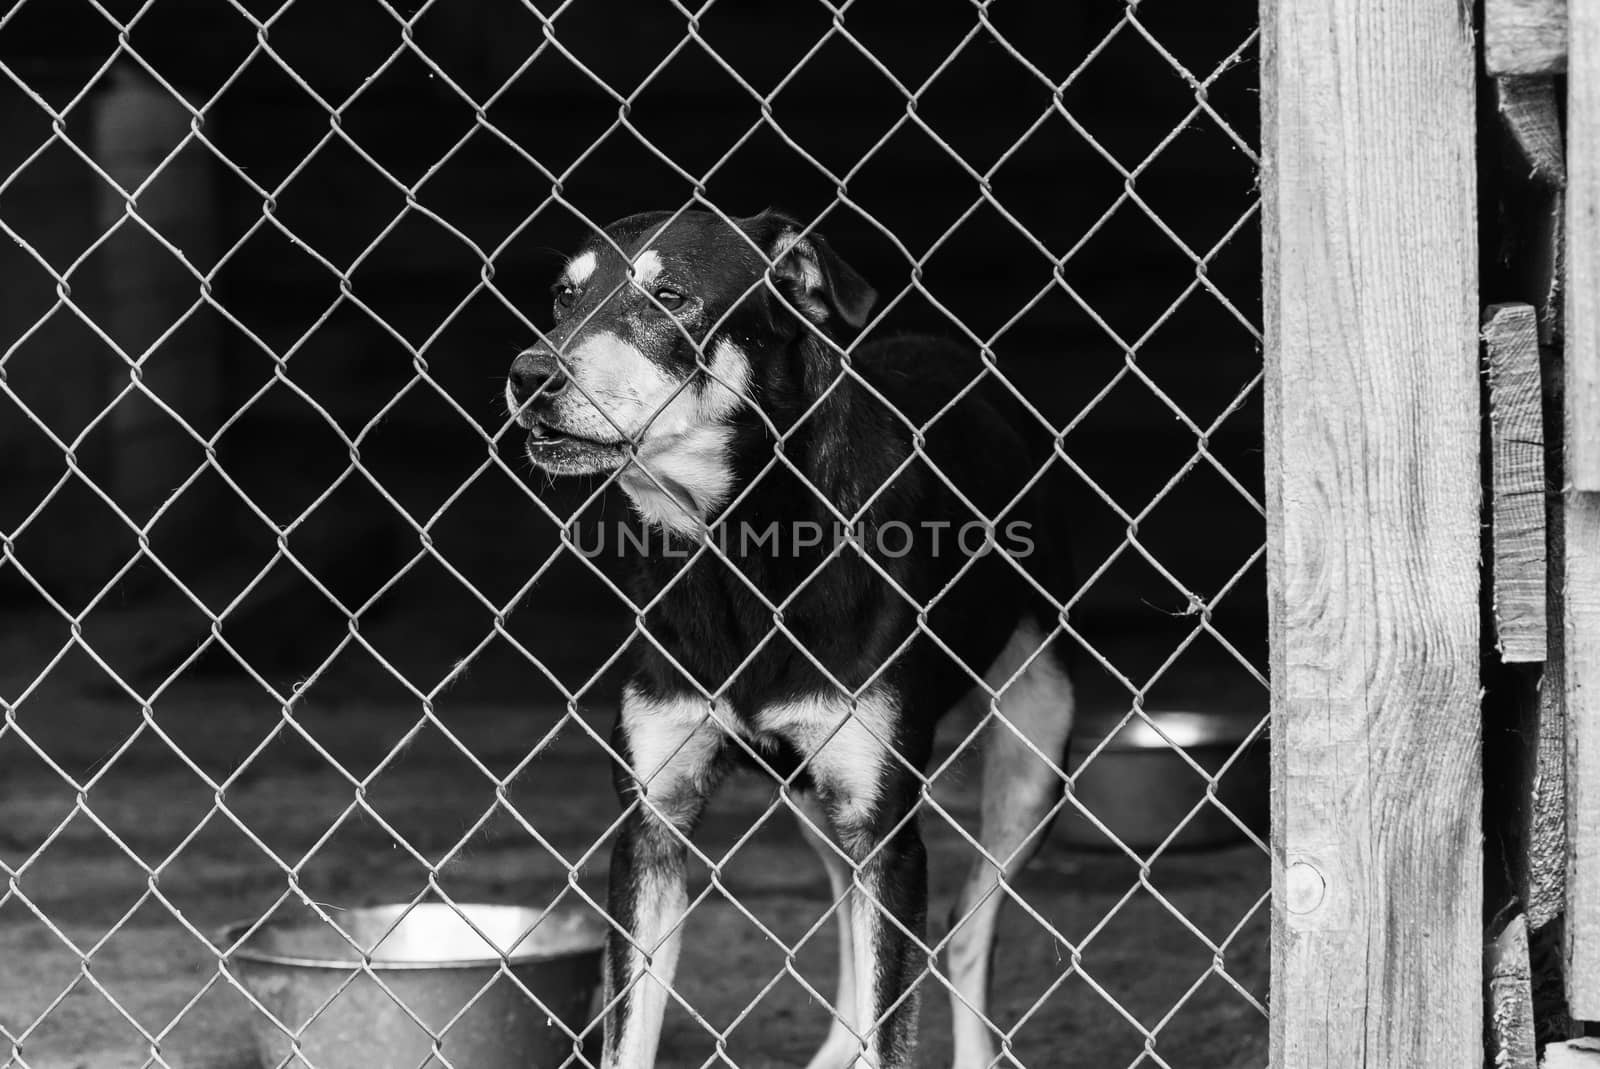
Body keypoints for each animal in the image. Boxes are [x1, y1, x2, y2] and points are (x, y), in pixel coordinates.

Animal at [505, 211, 1081, 1069]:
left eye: (670, 296)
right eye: (562, 297)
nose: (529, 373)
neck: (738, 553)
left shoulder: (887, 834)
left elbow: (893, 1021)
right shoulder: (650, 825)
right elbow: (627, 1032)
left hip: (1035, 746)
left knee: (965, 931)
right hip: (816, 797)